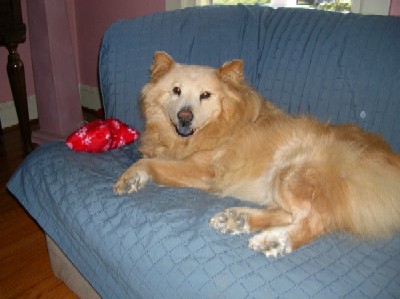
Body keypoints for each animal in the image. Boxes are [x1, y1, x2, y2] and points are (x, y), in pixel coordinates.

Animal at [115, 51, 400, 258]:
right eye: (176, 90)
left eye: (205, 95)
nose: (185, 116)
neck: (222, 124)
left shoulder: (203, 170)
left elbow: (150, 162)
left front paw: (131, 177)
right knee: (293, 214)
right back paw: (239, 219)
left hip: (291, 170)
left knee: (317, 219)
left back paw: (276, 240)